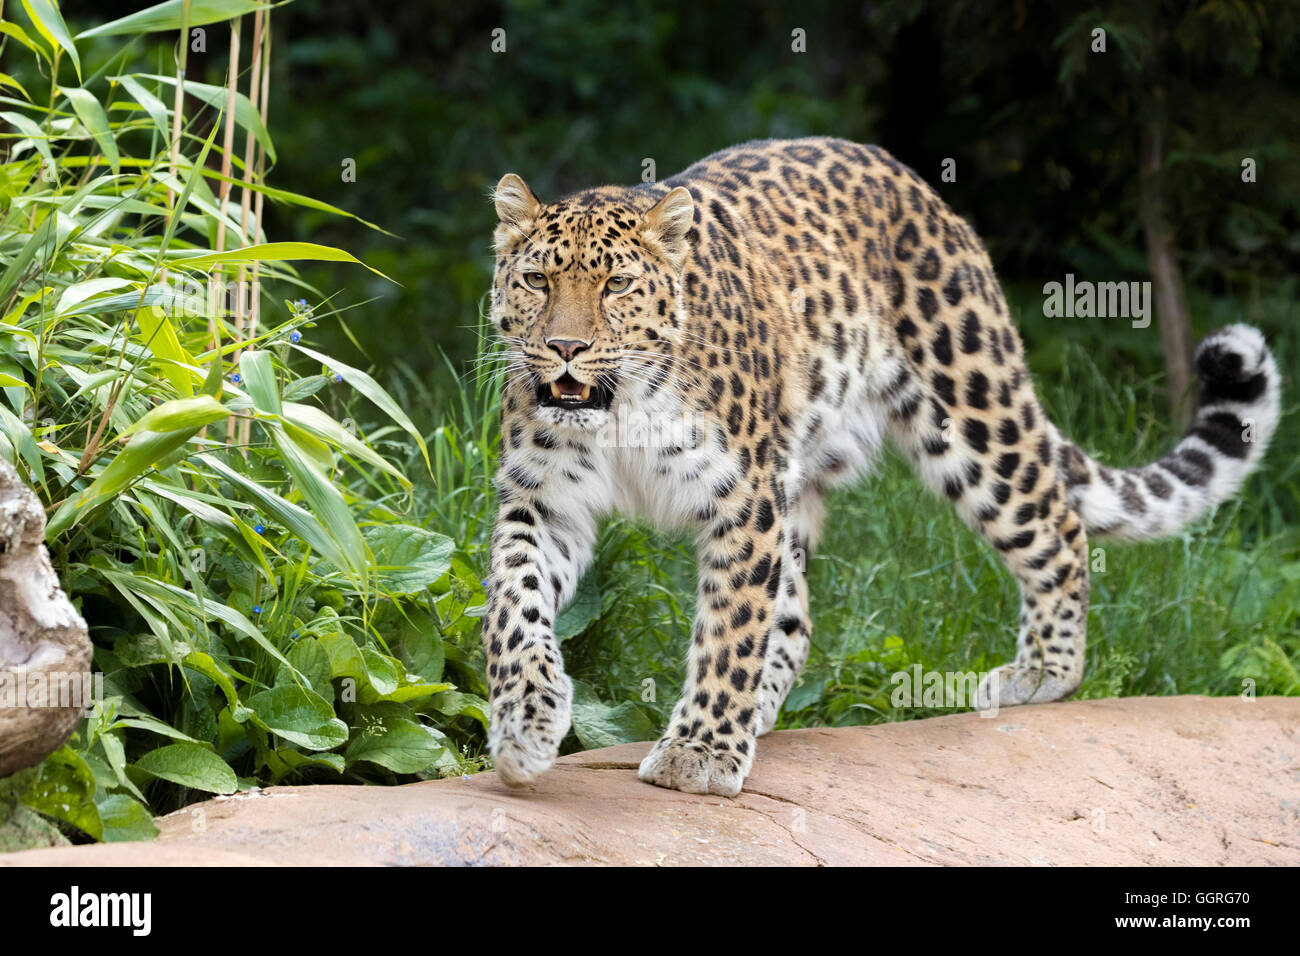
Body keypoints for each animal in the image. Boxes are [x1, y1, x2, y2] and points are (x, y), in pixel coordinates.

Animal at [478, 132, 1279, 790]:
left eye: (616, 284)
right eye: (537, 281)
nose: (566, 348)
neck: (618, 415)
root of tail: (909, 179)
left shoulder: (744, 496)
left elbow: (730, 629)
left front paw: (700, 751)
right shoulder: (544, 499)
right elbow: (512, 606)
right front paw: (525, 724)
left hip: (969, 405)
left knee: (1057, 525)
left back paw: (1042, 673)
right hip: (803, 478)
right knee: (796, 617)